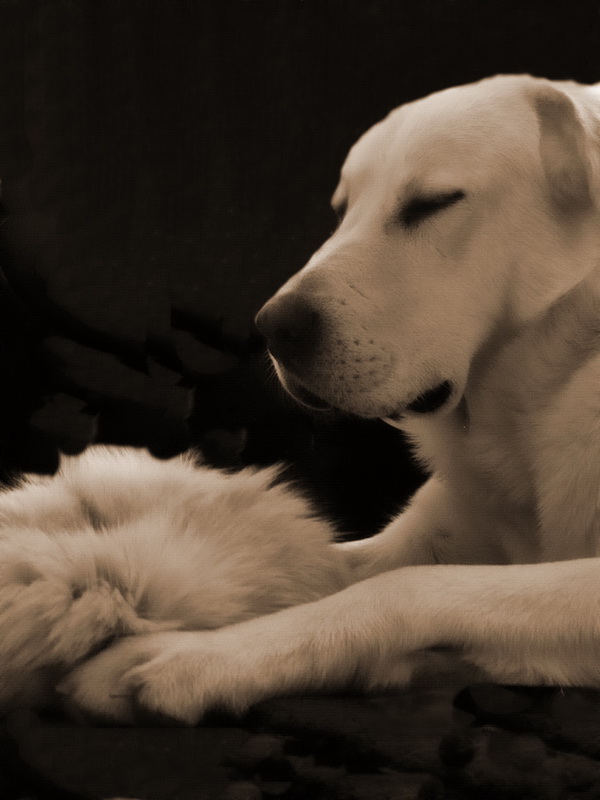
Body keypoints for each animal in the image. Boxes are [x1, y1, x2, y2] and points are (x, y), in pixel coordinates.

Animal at [57, 75, 600, 724]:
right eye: (343, 212)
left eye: (432, 204)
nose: (274, 328)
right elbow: (302, 562)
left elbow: (399, 589)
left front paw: (200, 658)